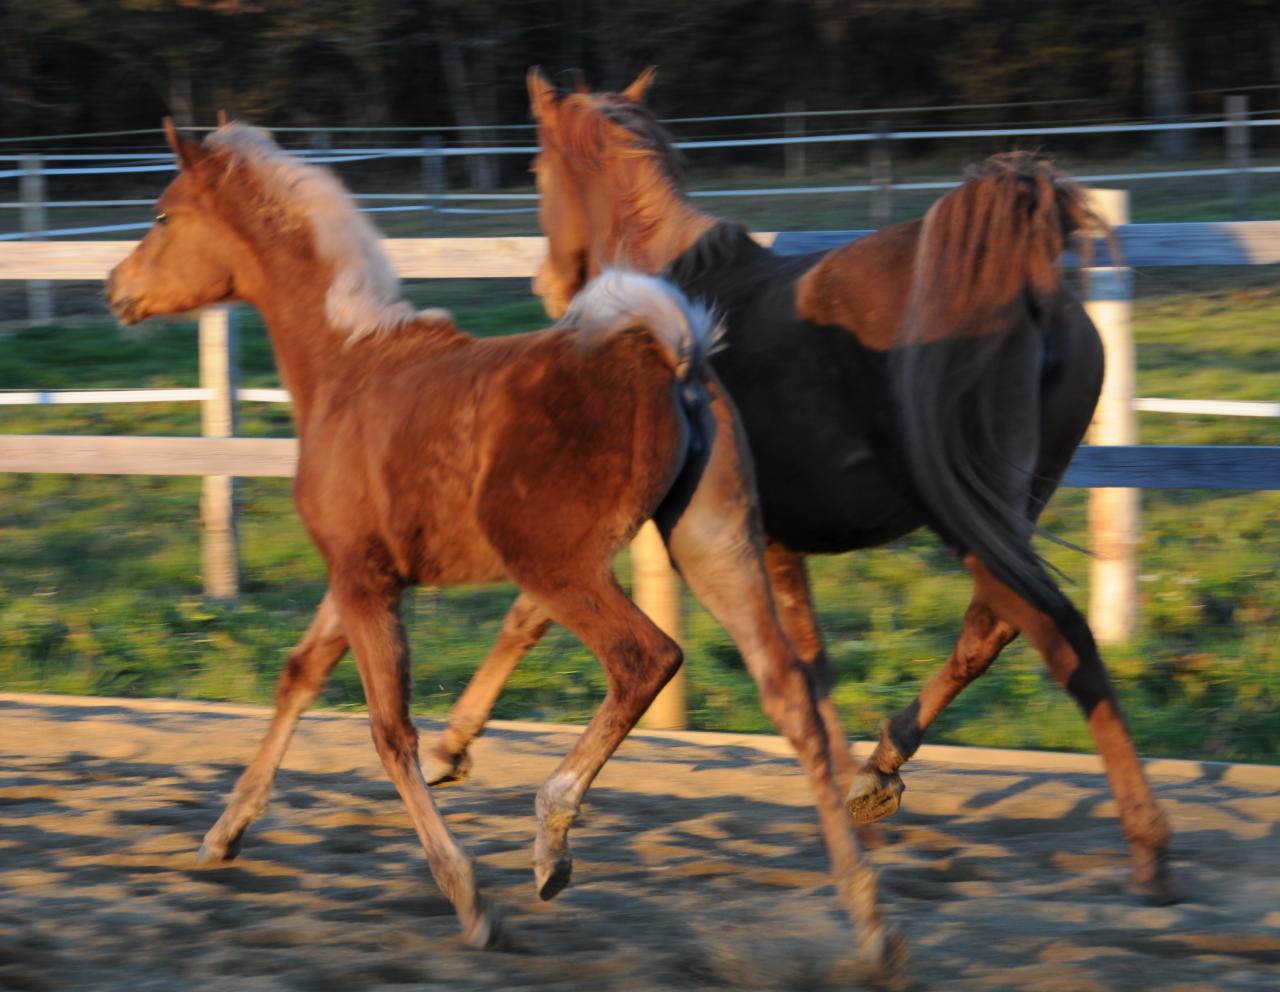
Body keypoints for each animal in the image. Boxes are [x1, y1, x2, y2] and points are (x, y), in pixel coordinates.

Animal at [107, 118, 901, 967]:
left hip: (557, 565)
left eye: (162, 215)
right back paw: (869, 921)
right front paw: (224, 833)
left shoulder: (362, 578)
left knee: (645, 658)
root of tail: (670, 355)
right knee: (791, 694)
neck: (346, 366)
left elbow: (390, 731)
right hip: (713, 545)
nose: (115, 288)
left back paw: (552, 840)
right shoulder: (358, 573)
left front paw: (469, 899)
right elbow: (299, 677)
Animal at [422, 67, 1177, 906]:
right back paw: (885, 767)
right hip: (1009, 505)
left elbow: (530, 615)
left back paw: (1148, 847)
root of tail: (1031, 286)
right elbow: (811, 664)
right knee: (996, 628)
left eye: (535, 167)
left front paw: (448, 748)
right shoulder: (773, 539)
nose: (549, 286)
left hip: (968, 515)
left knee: (1055, 633)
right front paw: (853, 792)